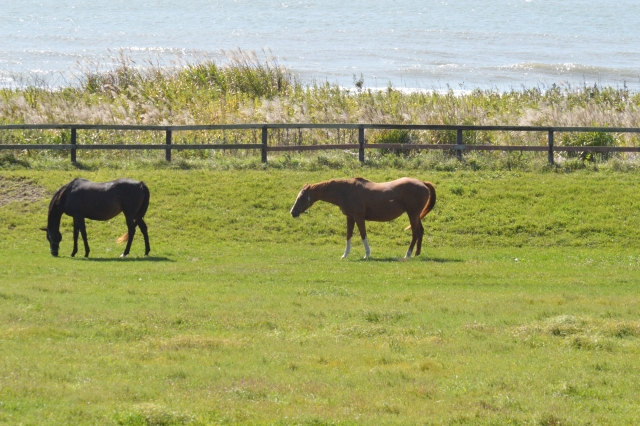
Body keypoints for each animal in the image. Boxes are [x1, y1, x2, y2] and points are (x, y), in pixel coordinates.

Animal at [290, 177, 436, 260]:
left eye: (302, 196)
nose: (293, 212)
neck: (346, 191)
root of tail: (422, 183)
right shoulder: (350, 218)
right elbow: (348, 236)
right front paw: (345, 255)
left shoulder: (359, 218)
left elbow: (363, 235)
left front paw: (367, 254)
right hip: (416, 216)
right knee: (420, 232)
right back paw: (416, 253)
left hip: (413, 214)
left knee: (415, 233)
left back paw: (408, 254)